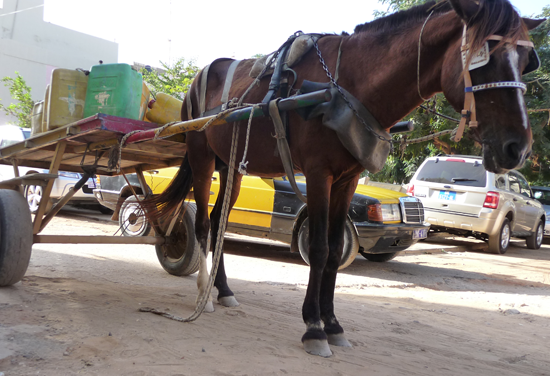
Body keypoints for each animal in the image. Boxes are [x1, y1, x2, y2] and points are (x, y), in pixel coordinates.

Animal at [148, 0, 548, 358]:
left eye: (526, 62)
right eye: (485, 56)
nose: (518, 148)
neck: (348, 86)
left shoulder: (348, 180)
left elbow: (335, 246)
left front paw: (333, 324)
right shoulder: (318, 174)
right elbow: (321, 248)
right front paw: (313, 329)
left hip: (231, 165)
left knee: (219, 221)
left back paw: (224, 290)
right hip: (202, 158)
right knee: (203, 223)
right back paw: (203, 293)